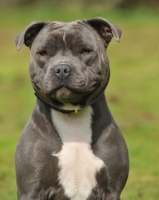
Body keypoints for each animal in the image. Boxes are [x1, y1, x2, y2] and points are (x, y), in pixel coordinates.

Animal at [14, 18, 129, 199]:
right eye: (43, 53)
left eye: (86, 51)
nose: (61, 69)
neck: (72, 116)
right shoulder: (31, 190)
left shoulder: (111, 190)